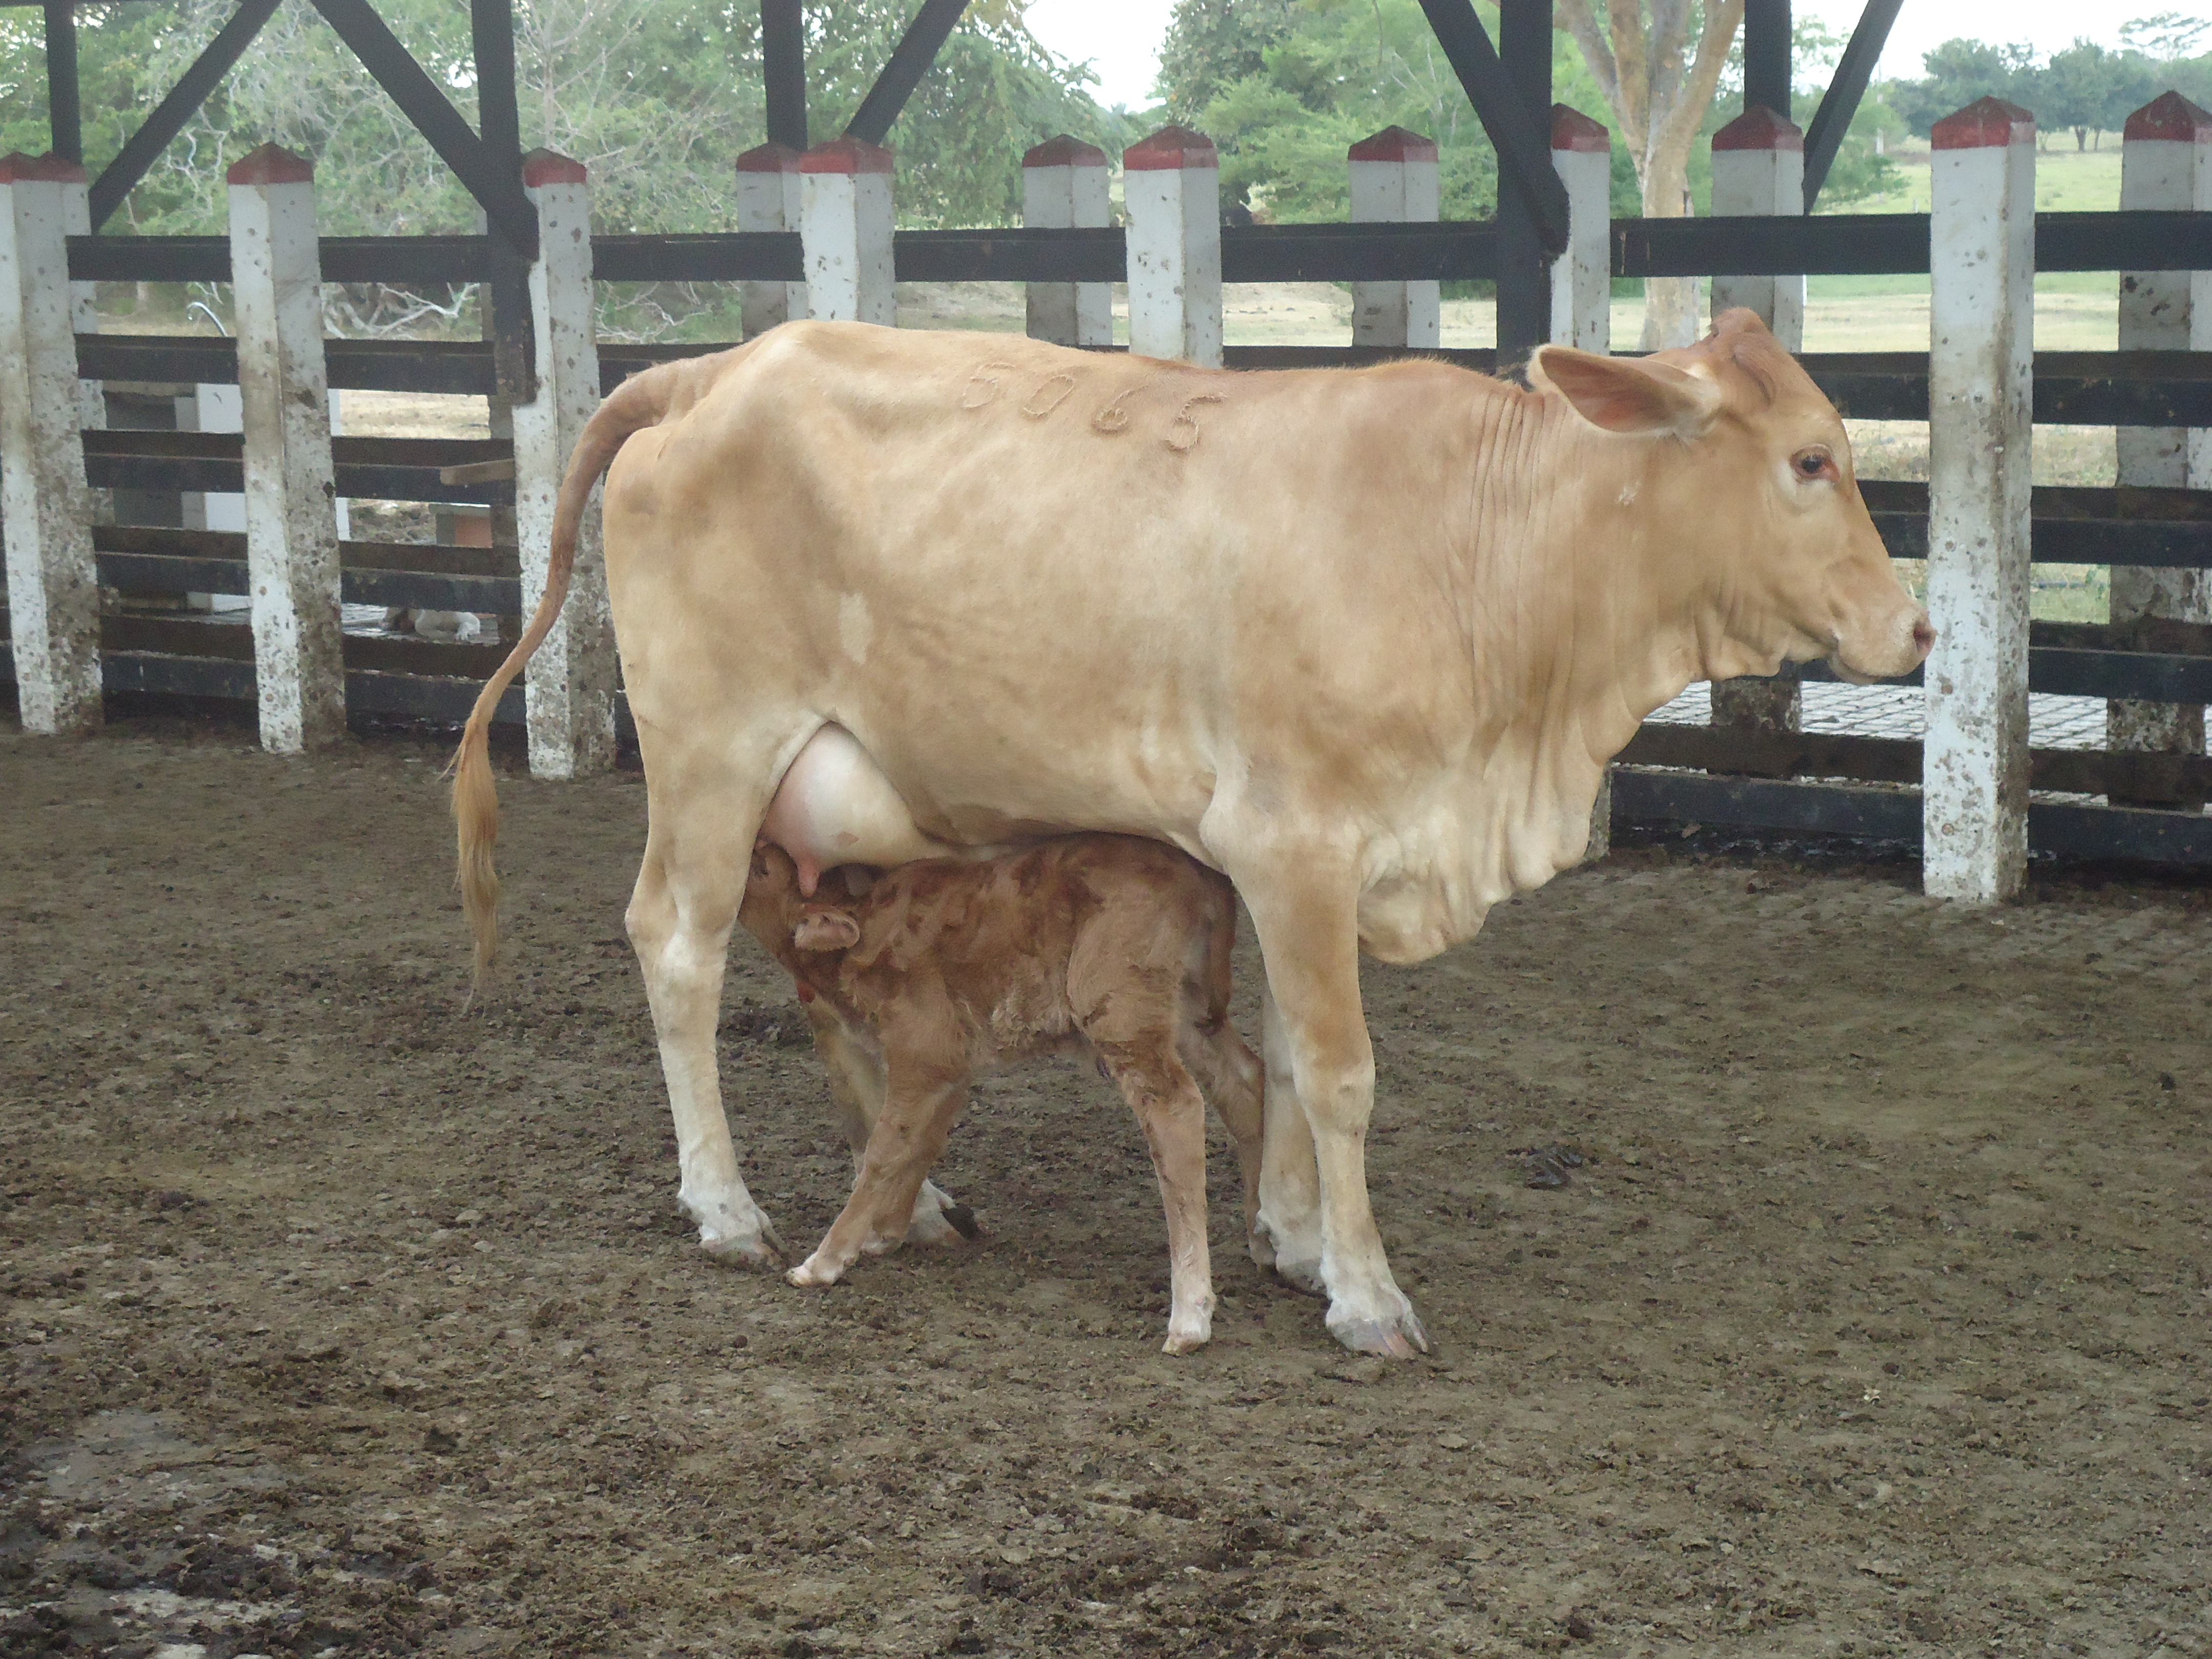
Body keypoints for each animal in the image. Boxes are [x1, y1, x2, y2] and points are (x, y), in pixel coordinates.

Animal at [736, 836, 1266, 1354]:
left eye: (761, 867)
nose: (748, 844)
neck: (865, 931)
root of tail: (1203, 875)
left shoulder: (921, 1053)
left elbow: (884, 1151)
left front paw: (823, 1262)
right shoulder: (951, 1067)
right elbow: (920, 1145)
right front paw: (888, 1232)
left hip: (1123, 1010)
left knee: (1177, 1107)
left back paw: (1190, 1316)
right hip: (1190, 1013)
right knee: (1245, 1081)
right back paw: (1260, 1233)